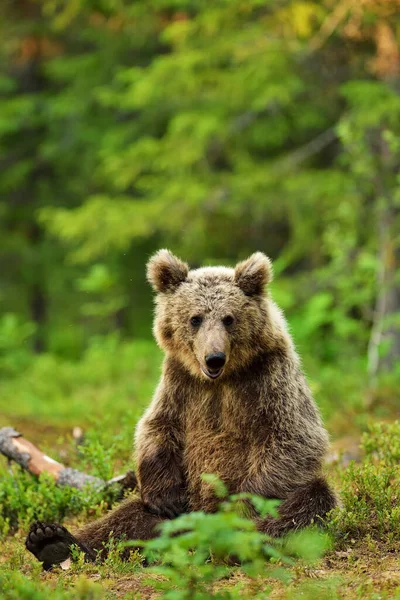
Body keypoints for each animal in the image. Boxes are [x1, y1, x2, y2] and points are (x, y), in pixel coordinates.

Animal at [25, 251, 338, 568]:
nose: (214, 357)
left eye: (229, 318)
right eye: (195, 319)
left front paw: (242, 505)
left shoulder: (269, 378)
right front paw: (166, 496)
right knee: (126, 519)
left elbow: (293, 437)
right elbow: (158, 425)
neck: (222, 379)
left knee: (309, 500)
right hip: (174, 509)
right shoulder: (180, 382)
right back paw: (54, 541)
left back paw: (241, 542)